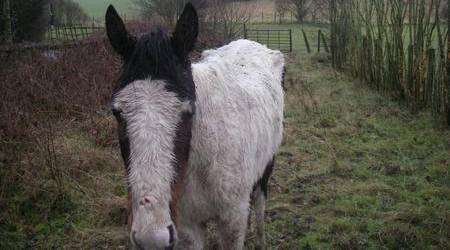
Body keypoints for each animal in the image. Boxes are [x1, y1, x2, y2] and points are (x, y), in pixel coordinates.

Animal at [105, 2, 284, 249]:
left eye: (188, 111)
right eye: (117, 112)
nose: (152, 238)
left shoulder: (232, 221)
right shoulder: (188, 227)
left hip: (266, 168)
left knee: (259, 204)